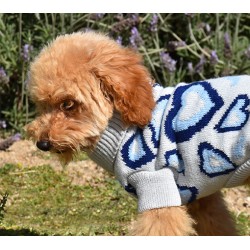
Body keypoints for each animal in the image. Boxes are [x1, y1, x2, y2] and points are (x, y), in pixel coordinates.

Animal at [25, 31, 250, 234]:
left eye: (68, 104)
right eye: (41, 104)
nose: (42, 144)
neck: (123, 129)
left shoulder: (158, 189)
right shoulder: (202, 199)